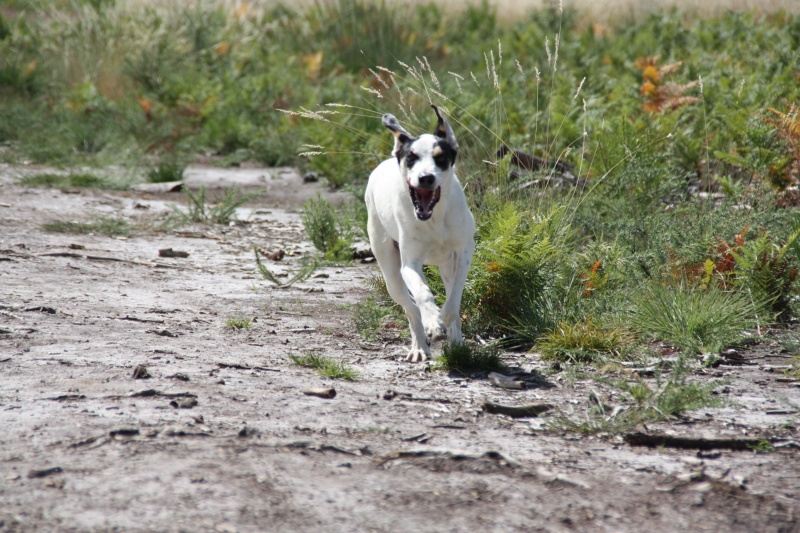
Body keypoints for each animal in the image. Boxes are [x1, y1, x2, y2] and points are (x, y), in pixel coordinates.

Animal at [368, 104, 476, 362]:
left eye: (441, 158)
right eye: (411, 158)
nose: (425, 178)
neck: (434, 219)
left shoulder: (464, 252)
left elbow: (454, 297)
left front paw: (444, 319)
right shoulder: (409, 264)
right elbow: (422, 293)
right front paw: (433, 323)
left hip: (446, 263)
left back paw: (456, 343)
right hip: (390, 273)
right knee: (410, 307)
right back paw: (420, 345)